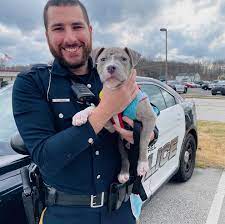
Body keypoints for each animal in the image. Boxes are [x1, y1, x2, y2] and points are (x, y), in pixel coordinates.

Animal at [72, 47, 156, 184]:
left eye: (123, 59)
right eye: (103, 59)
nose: (111, 67)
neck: (114, 89)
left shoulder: (149, 118)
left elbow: (143, 142)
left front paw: (142, 165)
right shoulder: (111, 125)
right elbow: (94, 108)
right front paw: (80, 115)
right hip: (120, 142)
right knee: (124, 157)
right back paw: (123, 173)